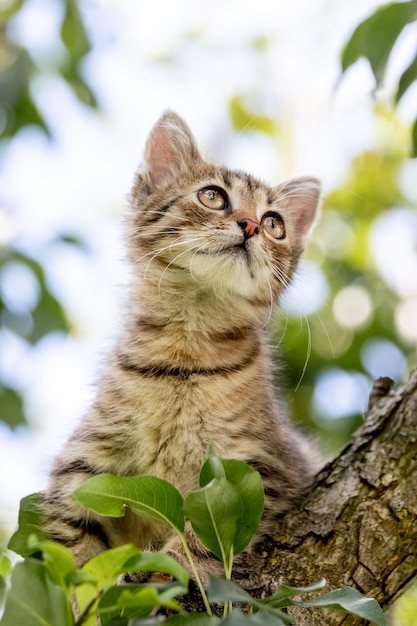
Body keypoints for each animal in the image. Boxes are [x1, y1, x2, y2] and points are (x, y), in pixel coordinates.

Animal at [44, 111, 318, 576]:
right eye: (213, 196)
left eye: (275, 224)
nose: (251, 225)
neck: (184, 357)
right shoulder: (84, 466)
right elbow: (68, 551)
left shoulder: (259, 467)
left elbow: (206, 537)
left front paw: (166, 567)